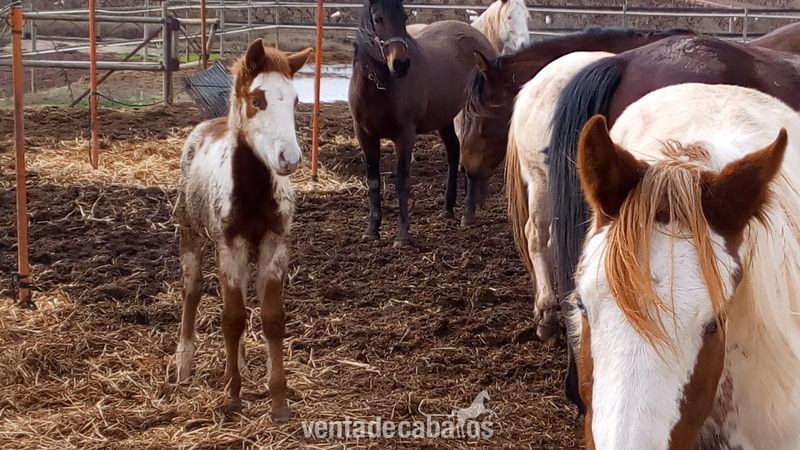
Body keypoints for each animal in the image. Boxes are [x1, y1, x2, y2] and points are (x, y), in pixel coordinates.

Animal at [174, 39, 312, 421]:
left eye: (295, 100)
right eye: (257, 100)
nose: (290, 158)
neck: (252, 191)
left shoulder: (275, 245)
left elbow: (271, 318)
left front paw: (278, 401)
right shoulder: (229, 245)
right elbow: (232, 319)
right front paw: (233, 397)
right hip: (190, 234)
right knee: (192, 291)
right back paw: (183, 366)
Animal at [349, 0, 496, 245]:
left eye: (404, 17)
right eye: (378, 19)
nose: (401, 64)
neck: (379, 88)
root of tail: (480, 38)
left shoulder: (405, 135)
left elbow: (402, 181)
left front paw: (402, 235)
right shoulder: (365, 135)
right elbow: (373, 181)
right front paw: (372, 230)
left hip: (472, 115)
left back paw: (468, 214)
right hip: (445, 118)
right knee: (454, 152)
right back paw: (447, 209)